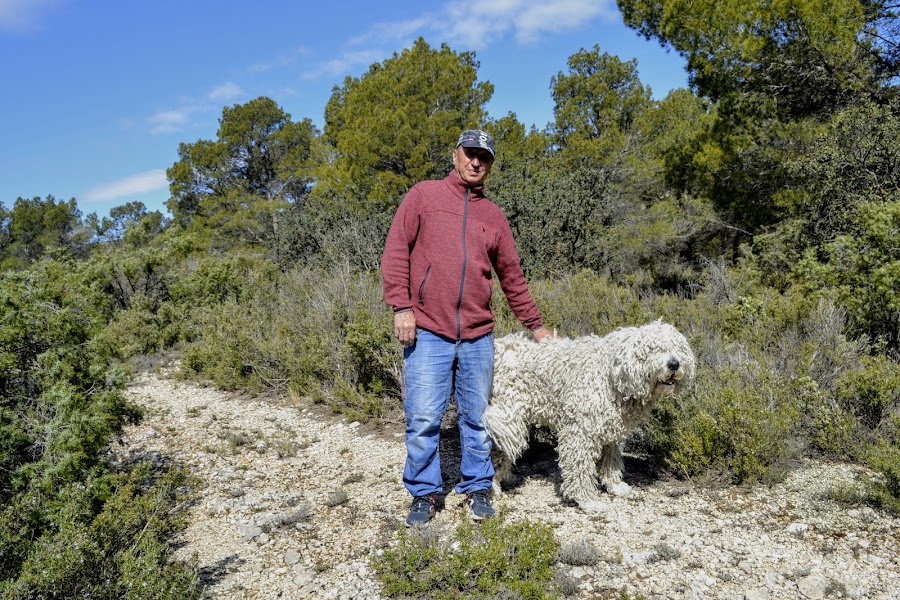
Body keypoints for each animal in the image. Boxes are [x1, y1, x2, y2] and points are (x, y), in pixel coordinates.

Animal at [486, 322, 696, 512]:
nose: (674, 364)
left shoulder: (612, 429)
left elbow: (611, 460)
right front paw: (586, 500)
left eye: (678, 348)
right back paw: (493, 488)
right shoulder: (581, 431)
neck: (613, 377)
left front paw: (615, 486)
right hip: (506, 418)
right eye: (654, 349)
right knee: (494, 451)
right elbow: (580, 469)